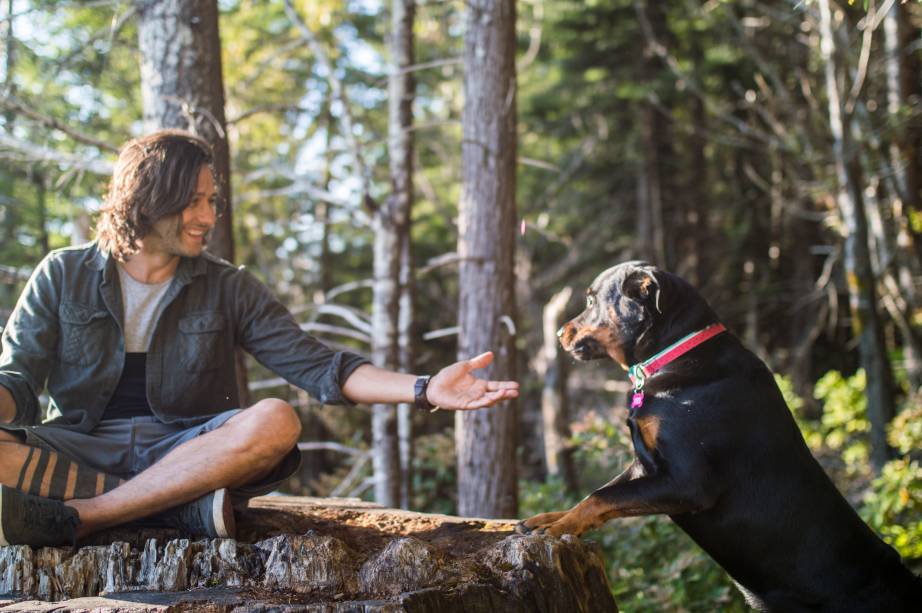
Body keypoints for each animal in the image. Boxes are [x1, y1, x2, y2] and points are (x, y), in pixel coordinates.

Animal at [516, 262, 920, 612]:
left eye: (590, 300)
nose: (559, 333)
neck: (673, 356)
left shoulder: (687, 481)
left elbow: (602, 497)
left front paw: (558, 527)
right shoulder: (645, 465)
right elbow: (599, 495)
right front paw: (553, 519)